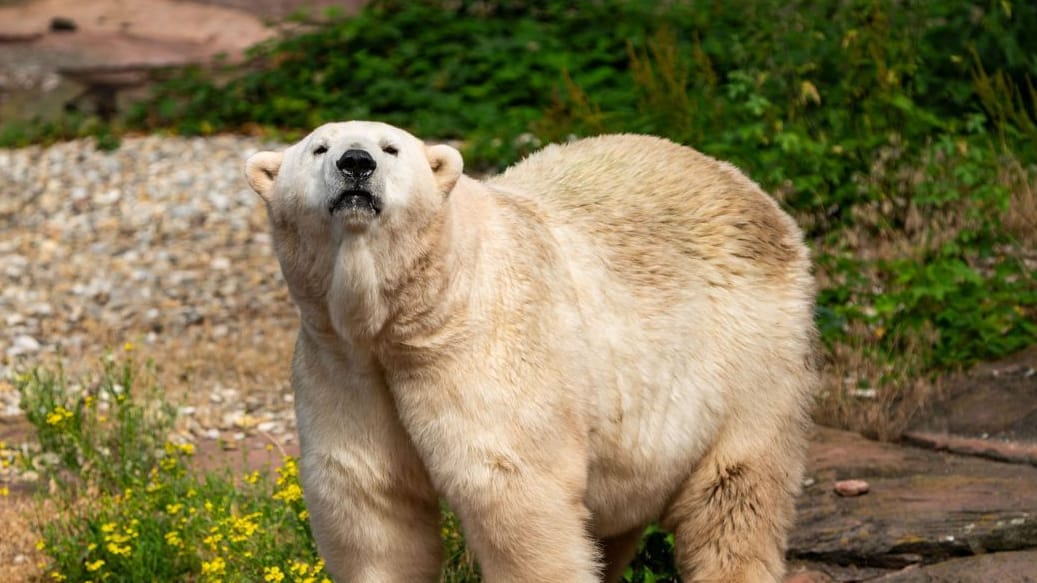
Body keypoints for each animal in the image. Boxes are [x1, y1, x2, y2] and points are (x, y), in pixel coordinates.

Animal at [244, 121, 817, 580]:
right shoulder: (343, 366)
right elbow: (373, 508)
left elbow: (511, 494)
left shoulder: (483, 350)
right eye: (319, 148)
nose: (356, 164)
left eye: (390, 148)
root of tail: (745, 186)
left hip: (749, 358)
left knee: (734, 496)